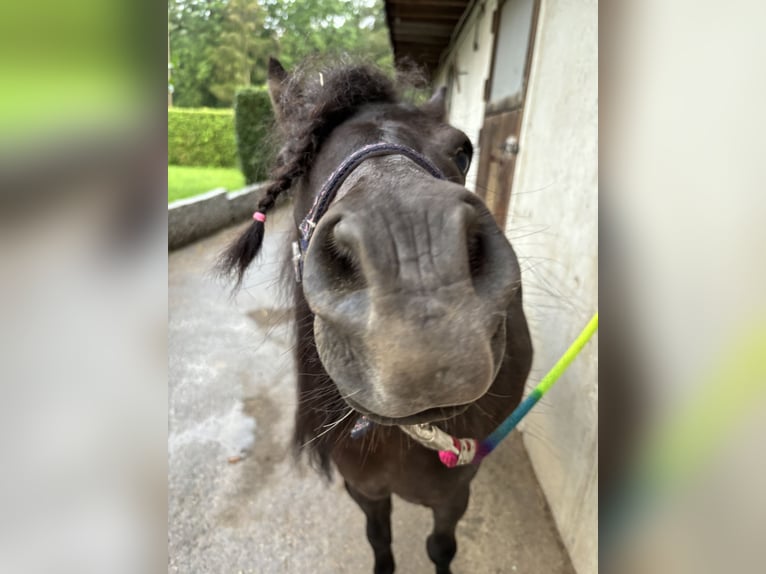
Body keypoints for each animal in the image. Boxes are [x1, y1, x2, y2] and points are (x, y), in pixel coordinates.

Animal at [219, 57, 533, 574]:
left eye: (464, 150)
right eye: (294, 163)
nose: (414, 257)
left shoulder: (453, 495)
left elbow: (440, 548)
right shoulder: (364, 490)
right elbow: (380, 543)